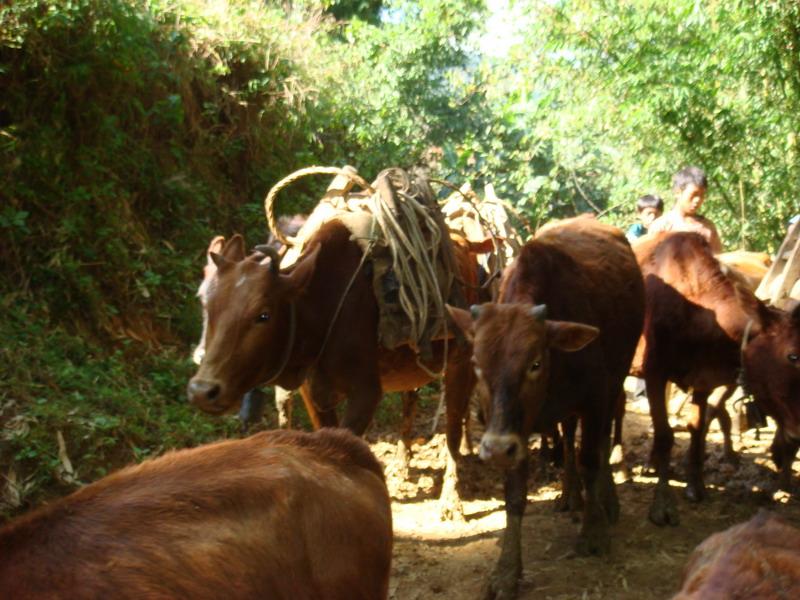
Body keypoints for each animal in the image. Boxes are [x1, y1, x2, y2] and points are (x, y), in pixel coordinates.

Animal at [450, 217, 644, 600]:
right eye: (477, 363)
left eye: (535, 363)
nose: (494, 448)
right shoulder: (514, 430)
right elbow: (514, 496)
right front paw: (506, 572)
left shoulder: (595, 399)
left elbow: (591, 460)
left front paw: (594, 532)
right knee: (568, 439)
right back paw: (570, 495)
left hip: (615, 384)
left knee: (601, 442)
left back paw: (605, 500)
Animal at [636, 232, 800, 528]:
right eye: (793, 355)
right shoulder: (654, 371)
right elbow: (665, 434)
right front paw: (662, 504)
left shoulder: (703, 381)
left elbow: (697, 428)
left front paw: (695, 485)